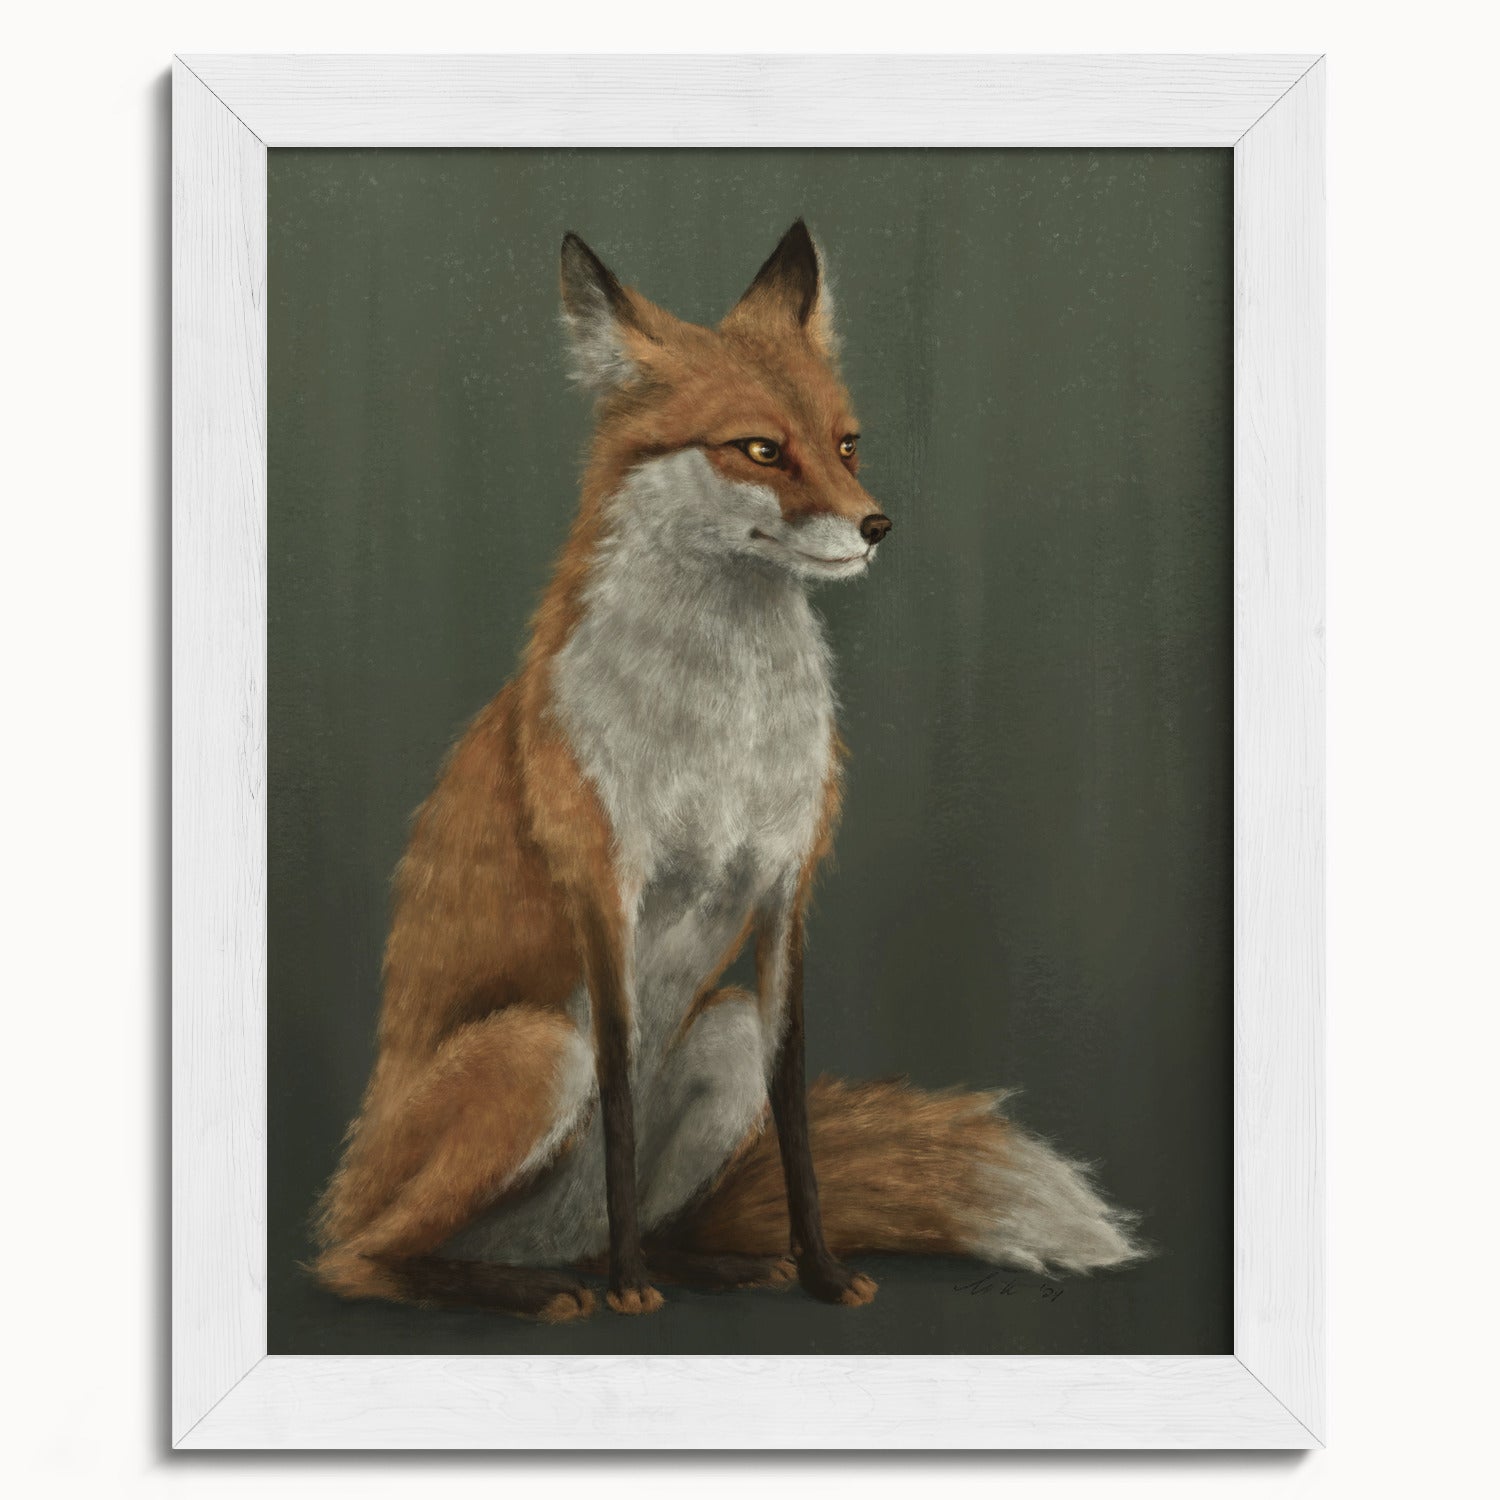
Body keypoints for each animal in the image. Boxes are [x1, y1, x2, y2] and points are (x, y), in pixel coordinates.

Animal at [311, 220, 1144, 1321]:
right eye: (759, 449)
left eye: (846, 443)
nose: (878, 525)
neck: (725, 731)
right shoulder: (605, 891)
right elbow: (621, 1100)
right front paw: (630, 1292)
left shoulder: (787, 890)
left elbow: (794, 1116)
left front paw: (822, 1272)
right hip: (535, 1052)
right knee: (361, 1260)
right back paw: (542, 1287)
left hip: (722, 1033)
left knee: (643, 1215)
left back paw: (705, 1264)